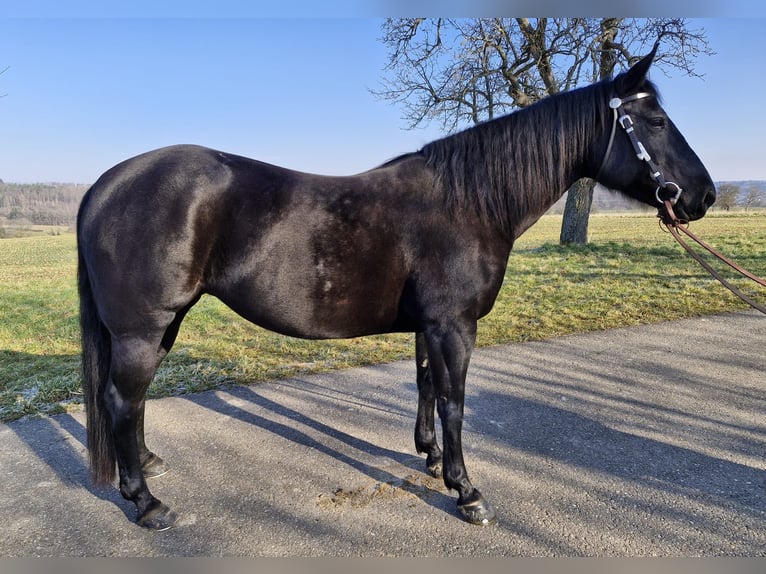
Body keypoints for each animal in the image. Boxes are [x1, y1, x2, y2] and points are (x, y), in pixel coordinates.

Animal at [76, 45, 712, 532]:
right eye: (655, 122)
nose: (704, 196)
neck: (469, 201)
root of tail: (105, 184)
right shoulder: (454, 326)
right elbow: (455, 401)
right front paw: (467, 490)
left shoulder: (430, 325)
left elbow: (427, 386)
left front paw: (430, 458)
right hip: (142, 329)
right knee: (121, 399)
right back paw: (146, 503)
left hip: (162, 325)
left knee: (129, 402)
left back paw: (149, 467)